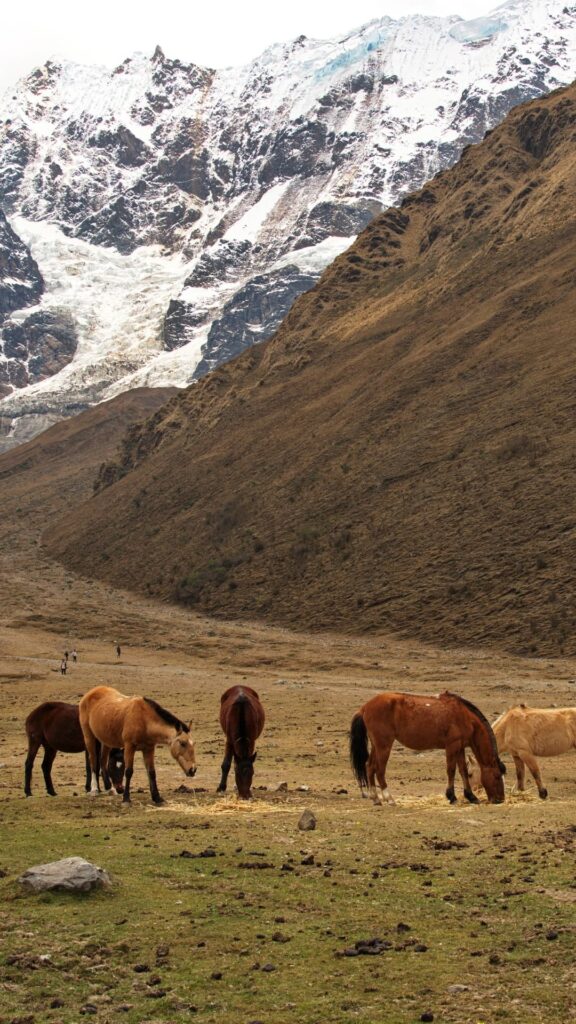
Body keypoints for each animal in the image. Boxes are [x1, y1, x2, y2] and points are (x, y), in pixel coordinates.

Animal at [350, 690, 506, 806]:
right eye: (497, 776)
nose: (500, 799)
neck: (465, 716)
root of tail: (365, 708)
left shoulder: (460, 747)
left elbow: (463, 771)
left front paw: (471, 797)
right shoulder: (452, 746)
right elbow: (451, 770)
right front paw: (452, 796)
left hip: (376, 746)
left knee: (369, 766)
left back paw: (375, 798)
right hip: (384, 746)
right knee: (380, 770)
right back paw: (390, 799)